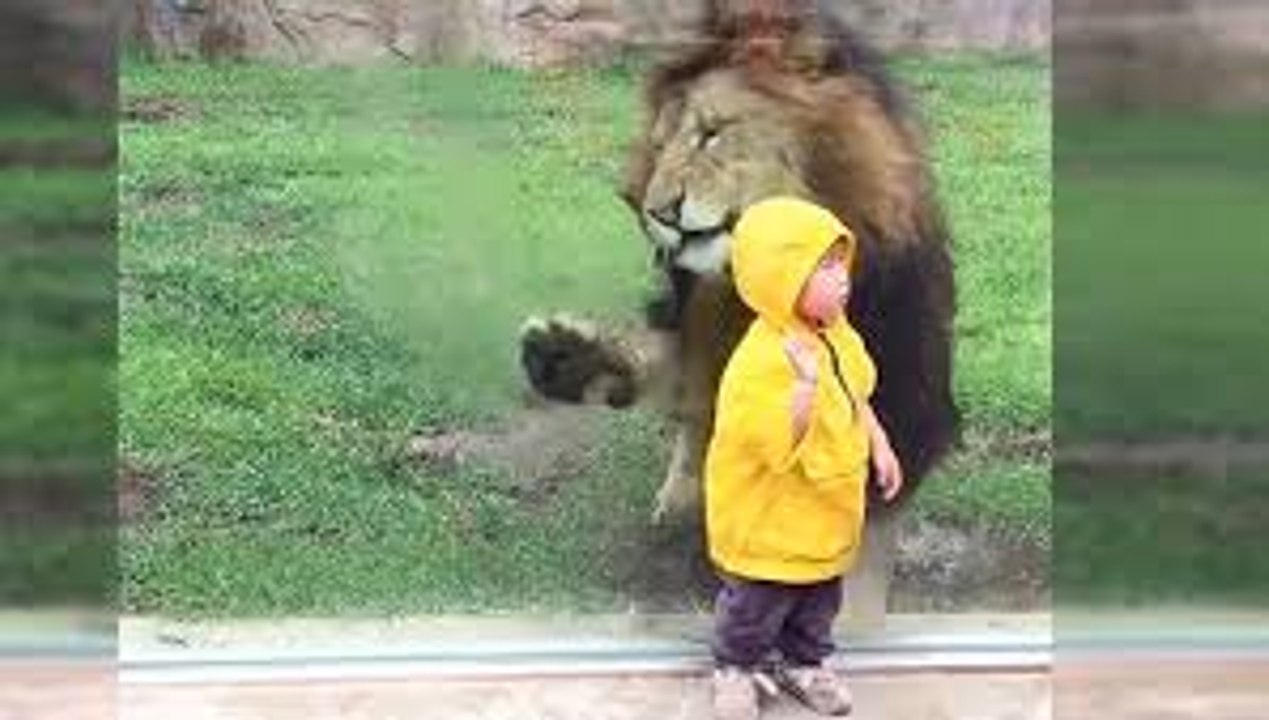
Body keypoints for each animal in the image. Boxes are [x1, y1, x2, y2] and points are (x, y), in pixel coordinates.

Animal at [520, 0, 959, 540]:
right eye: (659, 147)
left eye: (710, 134)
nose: (658, 213)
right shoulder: (695, 328)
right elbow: (691, 400)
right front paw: (572, 358)